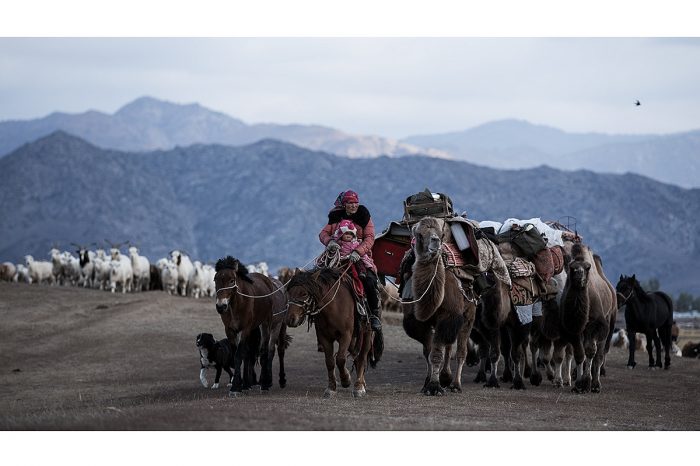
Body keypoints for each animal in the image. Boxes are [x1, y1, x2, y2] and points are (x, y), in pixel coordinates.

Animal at [213, 256, 290, 396]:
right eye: (215, 279)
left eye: (231, 280)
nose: (221, 306)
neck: (236, 306)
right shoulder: (230, 330)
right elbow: (240, 354)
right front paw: (242, 385)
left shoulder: (246, 329)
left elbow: (239, 355)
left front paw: (235, 388)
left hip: (272, 325)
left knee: (272, 350)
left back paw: (272, 382)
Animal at [286, 266, 380, 396]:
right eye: (289, 292)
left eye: (304, 293)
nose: (290, 319)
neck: (333, 306)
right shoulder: (324, 337)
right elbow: (330, 361)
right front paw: (331, 388)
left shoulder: (345, 335)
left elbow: (340, 359)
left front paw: (346, 380)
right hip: (354, 339)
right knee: (356, 357)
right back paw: (361, 383)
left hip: (366, 334)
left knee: (362, 357)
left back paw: (359, 386)